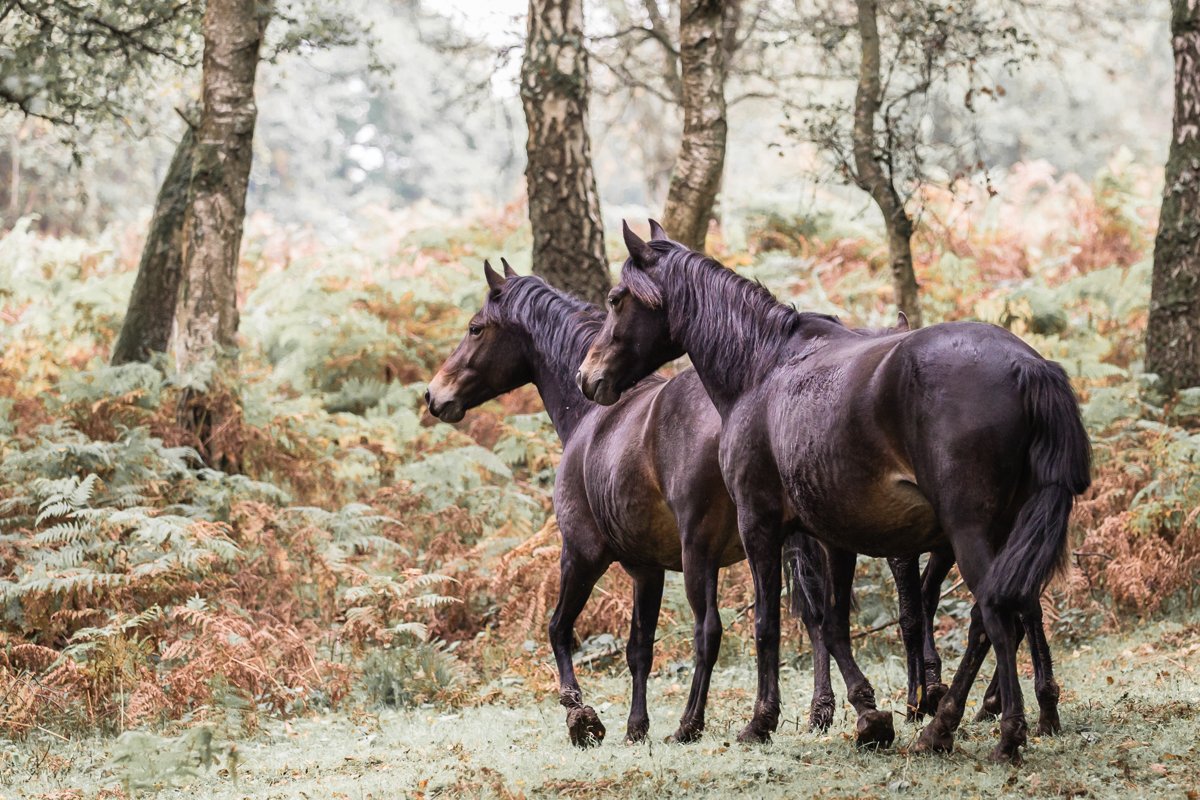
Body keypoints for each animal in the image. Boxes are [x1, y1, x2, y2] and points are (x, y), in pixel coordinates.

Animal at [424, 261, 936, 747]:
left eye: (475, 328)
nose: (434, 394)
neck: (591, 418)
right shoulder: (646, 570)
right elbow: (639, 650)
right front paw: (636, 726)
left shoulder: (582, 554)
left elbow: (559, 629)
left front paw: (580, 715)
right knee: (825, 615)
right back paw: (855, 709)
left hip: (701, 552)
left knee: (712, 629)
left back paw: (697, 722)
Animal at [578, 222, 1090, 763]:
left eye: (615, 298)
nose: (587, 378)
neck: (763, 369)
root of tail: (1025, 364)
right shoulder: (834, 537)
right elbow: (833, 623)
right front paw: (868, 714)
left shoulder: (759, 524)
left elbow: (768, 624)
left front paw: (761, 721)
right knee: (997, 616)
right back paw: (943, 727)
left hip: (971, 533)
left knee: (995, 616)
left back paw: (1005, 733)